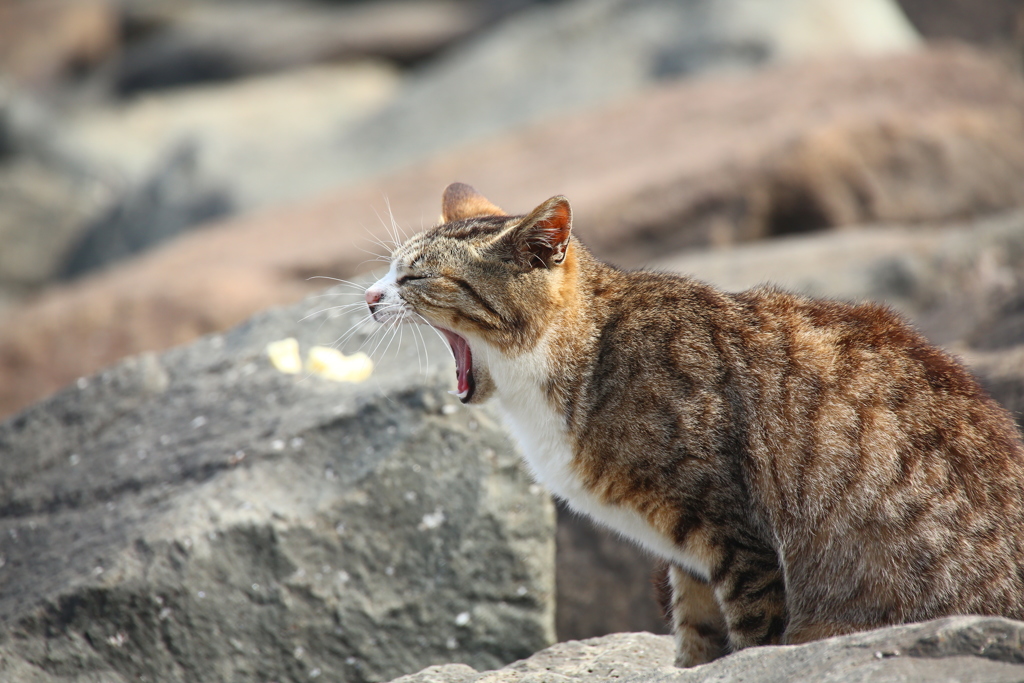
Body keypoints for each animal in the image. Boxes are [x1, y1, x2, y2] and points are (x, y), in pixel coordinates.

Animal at [362, 183, 1024, 667]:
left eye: (413, 277)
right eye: (390, 270)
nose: (368, 297)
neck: (581, 354)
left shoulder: (735, 532)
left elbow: (751, 638)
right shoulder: (690, 556)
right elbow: (698, 637)